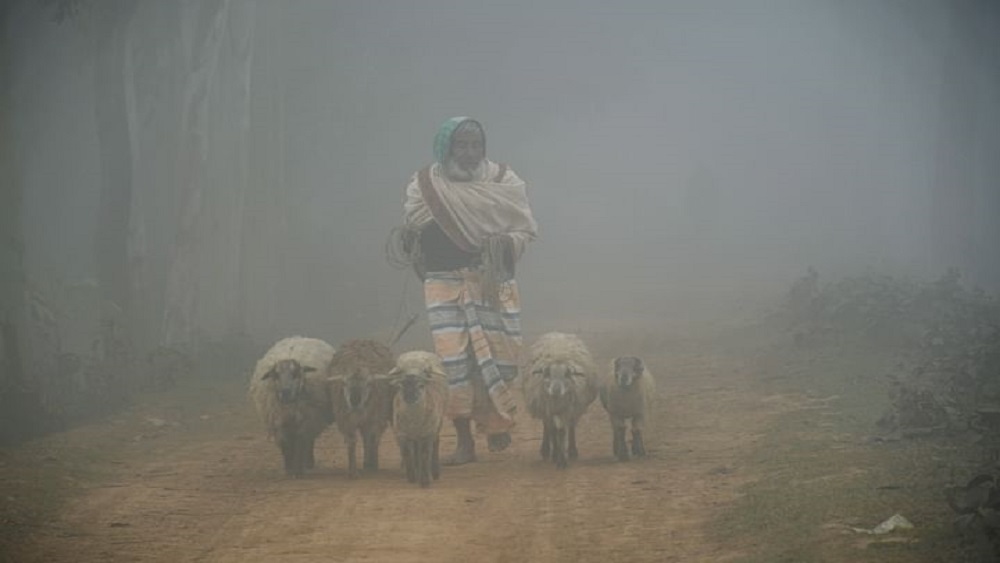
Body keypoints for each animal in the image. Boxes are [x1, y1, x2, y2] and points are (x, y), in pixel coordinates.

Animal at [248, 338, 338, 478]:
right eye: (276, 375)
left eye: (295, 374)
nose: (285, 392)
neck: (289, 406)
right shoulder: (279, 423)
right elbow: (285, 444)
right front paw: (289, 469)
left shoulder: (305, 421)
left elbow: (300, 443)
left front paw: (298, 470)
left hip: (311, 419)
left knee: (308, 441)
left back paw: (308, 463)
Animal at [324, 340, 394, 480]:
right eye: (344, 383)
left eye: (369, 383)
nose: (354, 401)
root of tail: (365, 340)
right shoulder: (346, 420)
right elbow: (352, 441)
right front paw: (353, 472)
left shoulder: (374, 419)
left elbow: (371, 439)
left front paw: (372, 465)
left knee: (371, 439)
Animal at [388, 352, 448, 490]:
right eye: (401, 385)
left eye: (421, 385)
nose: (411, 377)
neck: (414, 420)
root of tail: (418, 350)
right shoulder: (402, 434)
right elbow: (407, 453)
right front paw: (411, 477)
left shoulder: (428, 433)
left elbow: (425, 454)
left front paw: (425, 481)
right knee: (415, 450)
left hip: (437, 424)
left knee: (435, 445)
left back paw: (434, 472)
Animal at [528, 332, 596, 470]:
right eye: (547, 373)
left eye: (567, 374)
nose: (556, 389)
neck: (557, 401)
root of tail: (557, 334)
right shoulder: (549, 410)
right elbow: (554, 431)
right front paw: (556, 456)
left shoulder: (567, 409)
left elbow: (562, 431)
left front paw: (562, 461)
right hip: (544, 408)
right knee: (547, 427)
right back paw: (546, 450)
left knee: (570, 426)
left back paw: (572, 450)